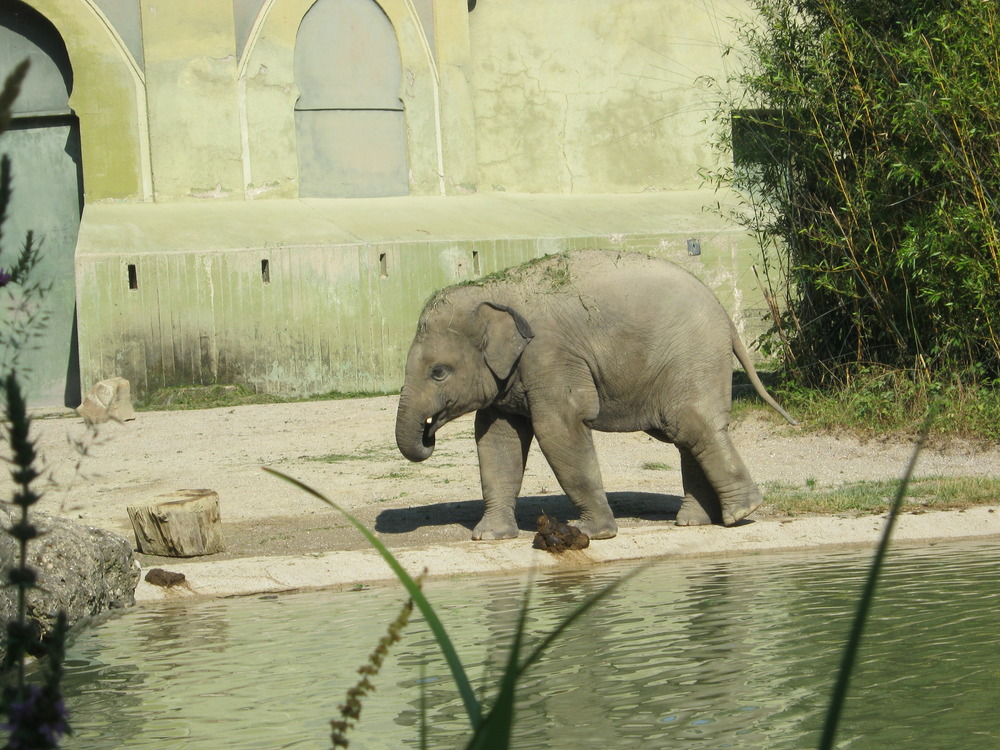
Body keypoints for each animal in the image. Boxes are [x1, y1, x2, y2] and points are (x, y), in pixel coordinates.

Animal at [394, 251, 792, 540]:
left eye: (438, 372)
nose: (428, 434)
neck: (492, 292)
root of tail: (726, 317)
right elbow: (496, 442)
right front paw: (489, 536)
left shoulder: (550, 357)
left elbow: (559, 429)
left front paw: (594, 533)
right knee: (686, 435)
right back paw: (695, 522)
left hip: (694, 356)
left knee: (694, 426)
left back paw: (741, 512)